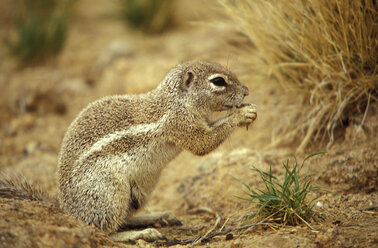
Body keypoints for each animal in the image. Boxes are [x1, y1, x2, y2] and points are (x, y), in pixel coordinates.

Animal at [0, 60, 256, 242]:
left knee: (124, 218)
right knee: (103, 230)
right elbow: (203, 143)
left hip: (139, 191)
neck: (176, 101)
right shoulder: (181, 124)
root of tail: (69, 211)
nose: (246, 90)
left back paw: (158, 217)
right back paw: (142, 233)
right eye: (218, 81)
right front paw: (242, 114)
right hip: (109, 190)